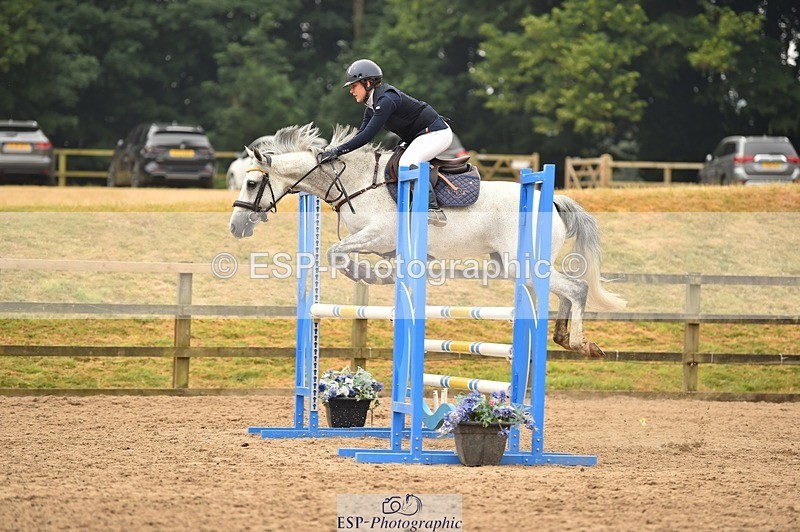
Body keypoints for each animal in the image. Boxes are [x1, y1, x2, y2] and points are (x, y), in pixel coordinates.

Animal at [229, 123, 626, 357]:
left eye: (251, 182)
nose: (236, 227)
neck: (353, 180)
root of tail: (554, 201)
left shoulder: (378, 234)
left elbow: (335, 252)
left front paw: (370, 277)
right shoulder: (385, 245)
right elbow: (353, 256)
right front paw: (386, 278)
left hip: (522, 262)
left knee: (575, 288)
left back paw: (581, 343)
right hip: (514, 265)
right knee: (563, 290)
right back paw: (563, 337)